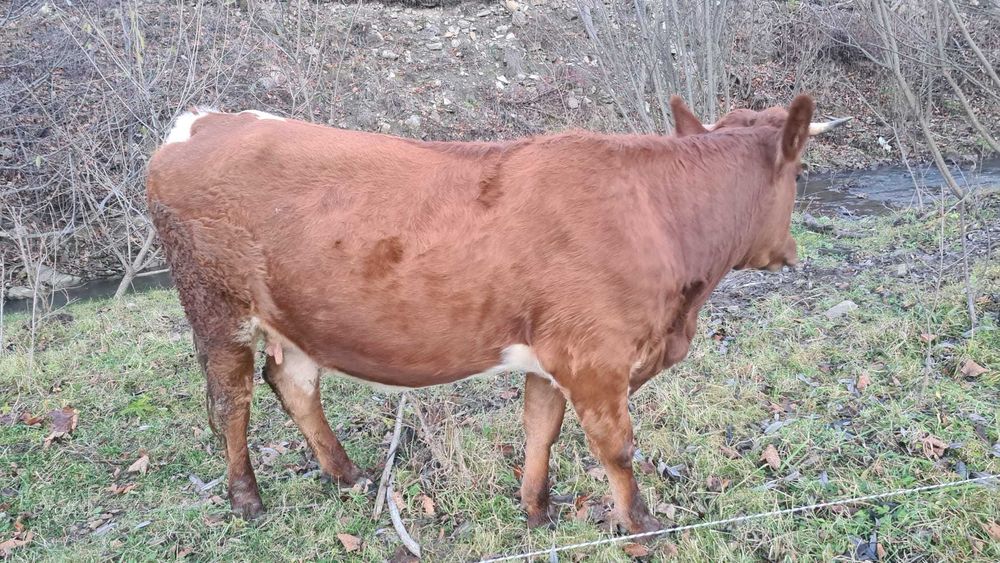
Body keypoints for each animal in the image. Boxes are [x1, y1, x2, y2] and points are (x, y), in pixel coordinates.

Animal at [145, 94, 848, 534]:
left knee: (291, 382)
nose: (792, 251)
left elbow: (542, 428)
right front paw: (643, 527)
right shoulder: (596, 357)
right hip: (216, 309)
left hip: (291, 318)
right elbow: (617, 448)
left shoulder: (552, 356)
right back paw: (247, 498)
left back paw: (347, 474)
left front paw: (536, 510)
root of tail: (204, 123)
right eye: (795, 177)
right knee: (230, 402)